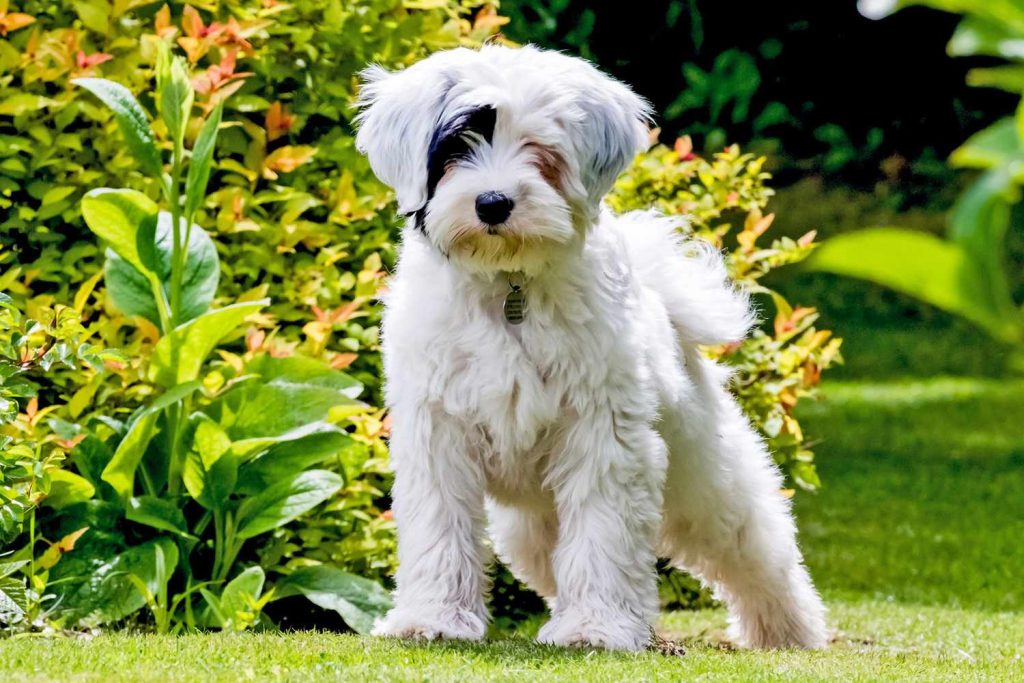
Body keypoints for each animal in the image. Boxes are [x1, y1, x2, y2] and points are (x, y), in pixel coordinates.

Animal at [356, 42, 827, 651]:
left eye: (540, 151)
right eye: (457, 145)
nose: (492, 203)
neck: (510, 287)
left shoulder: (602, 436)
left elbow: (603, 532)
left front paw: (595, 628)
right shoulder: (437, 434)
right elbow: (441, 529)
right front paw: (431, 619)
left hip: (706, 481)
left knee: (755, 546)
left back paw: (789, 628)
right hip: (529, 525)